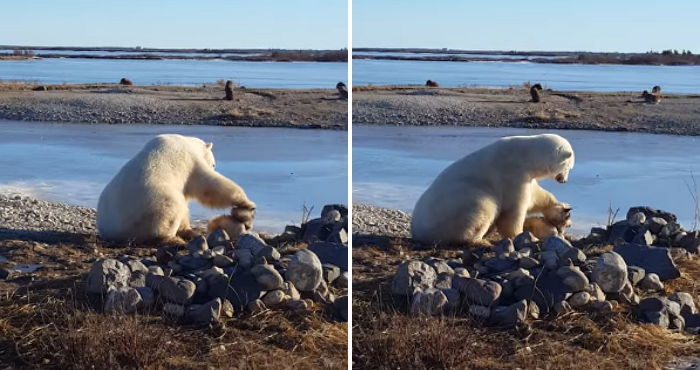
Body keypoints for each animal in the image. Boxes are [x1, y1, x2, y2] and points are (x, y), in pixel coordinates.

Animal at [95, 134, 254, 244]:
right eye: (214, 164)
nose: (214, 166)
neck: (187, 141)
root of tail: (113, 230)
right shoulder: (190, 161)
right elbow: (208, 185)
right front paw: (248, 204)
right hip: (151, 204)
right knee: (171, 208)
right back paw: (174, 239)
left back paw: (190, 233)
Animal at [410, 134, 576, 244]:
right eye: (569, 167)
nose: (565, 181)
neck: (526, 155)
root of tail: (417, 231)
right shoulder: (512, 173)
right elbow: (512, 211)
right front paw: (523, 235)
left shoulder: (527, 177)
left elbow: (536, 197)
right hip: (459, 205)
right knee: (483, 207)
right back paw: (480, 240)